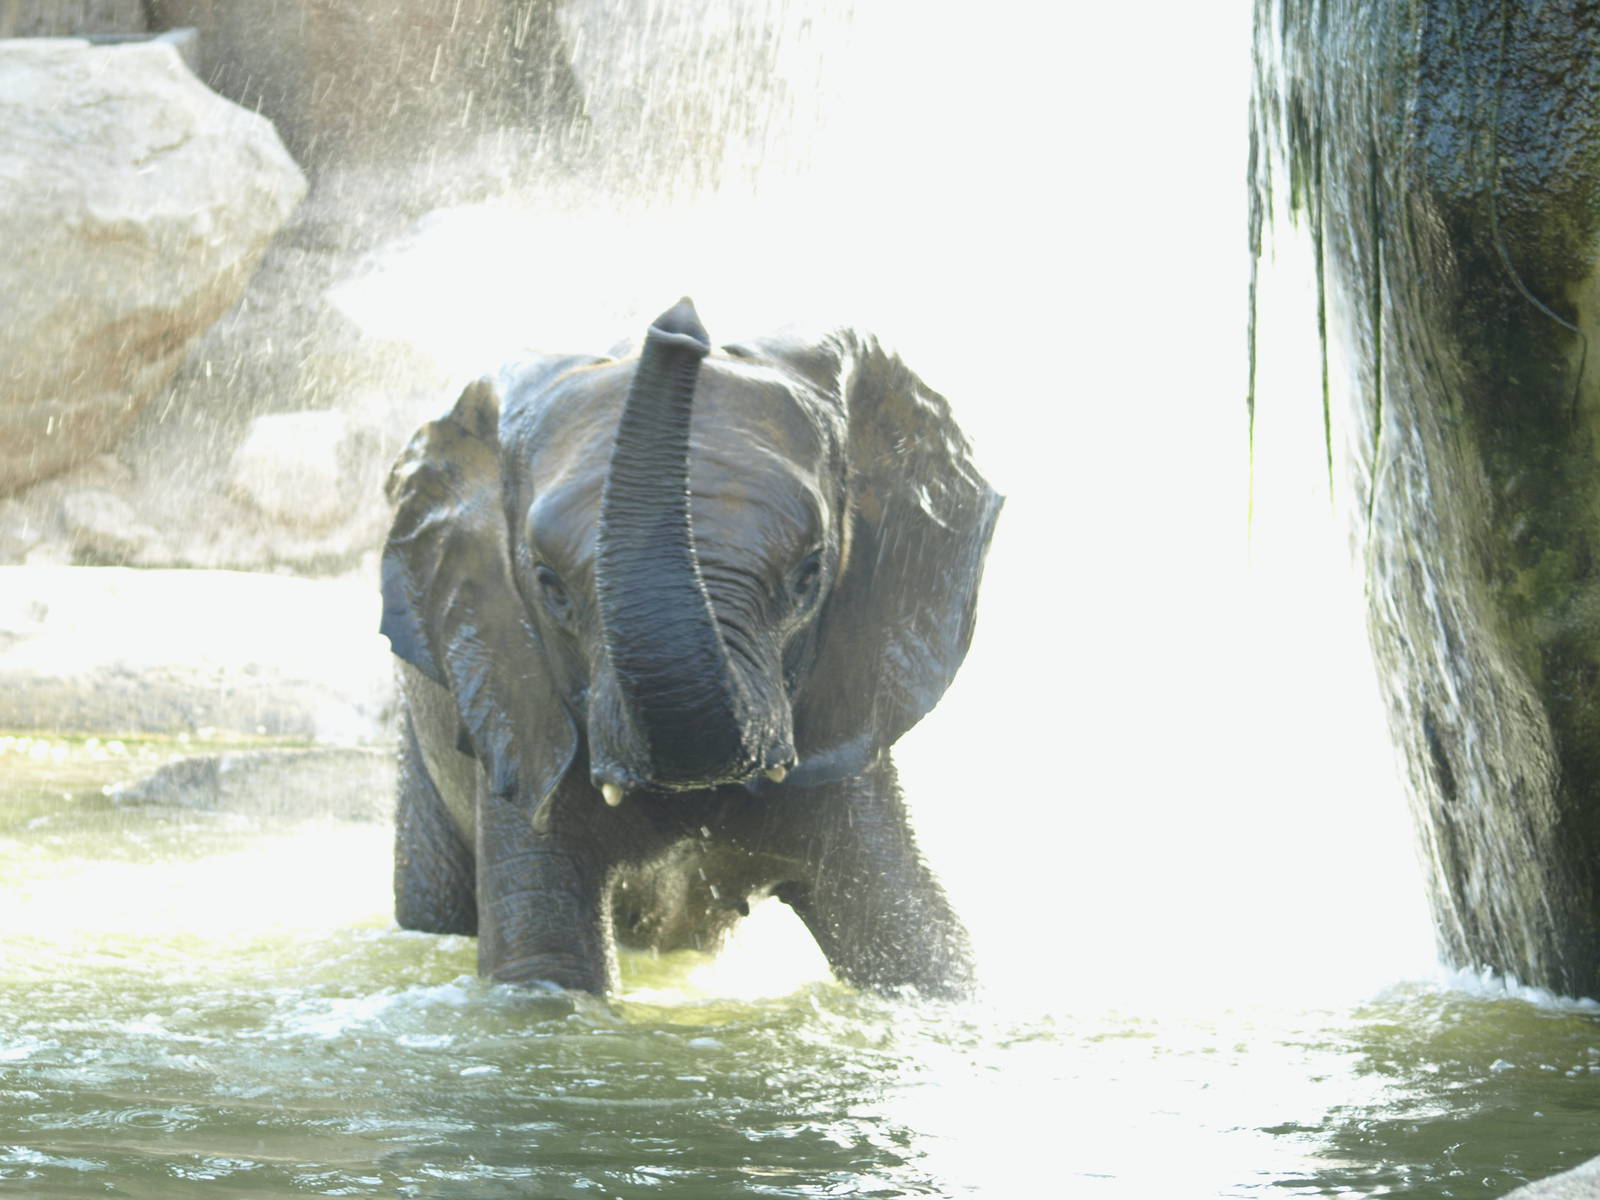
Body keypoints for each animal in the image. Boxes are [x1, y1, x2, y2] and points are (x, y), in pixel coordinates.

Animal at [378, 299, 1001, 997]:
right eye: (549, 586)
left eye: (810, 574)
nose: (679, 321)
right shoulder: (516, 700)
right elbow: (545, 960)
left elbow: (920, 940)